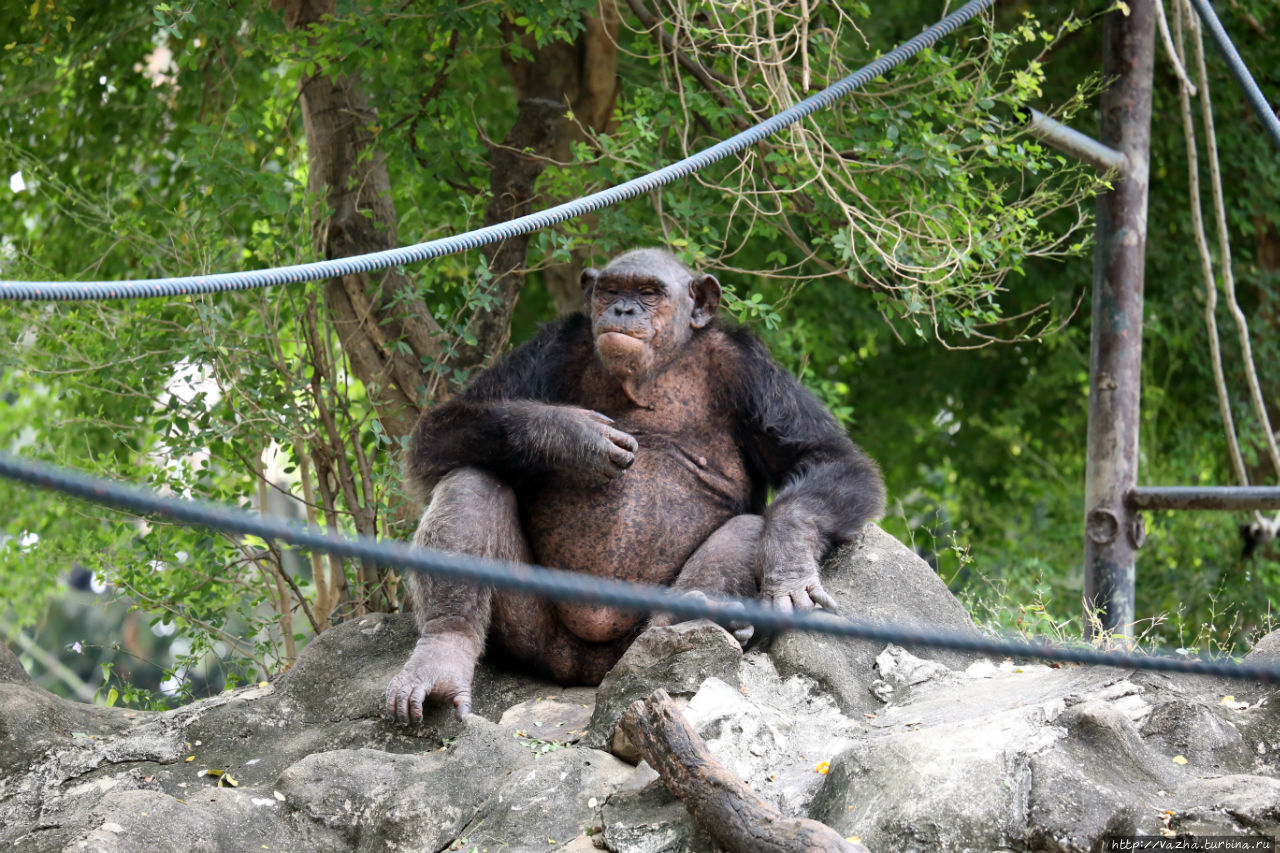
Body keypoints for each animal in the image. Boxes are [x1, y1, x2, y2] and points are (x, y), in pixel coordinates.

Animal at [384, 249, 885, 722]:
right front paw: (569, 434)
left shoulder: (752, 372)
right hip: (536, 637)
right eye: (611, 290)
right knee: (470, 481)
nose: (623, 309)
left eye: (648, 292)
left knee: (749, 526)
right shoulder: (552, 347)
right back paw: (443, 653)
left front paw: (790, 565)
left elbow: (824, 457)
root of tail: (583, 672)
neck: (650, 374)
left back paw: (691, 616)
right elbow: (440, 430)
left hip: (632, 644)